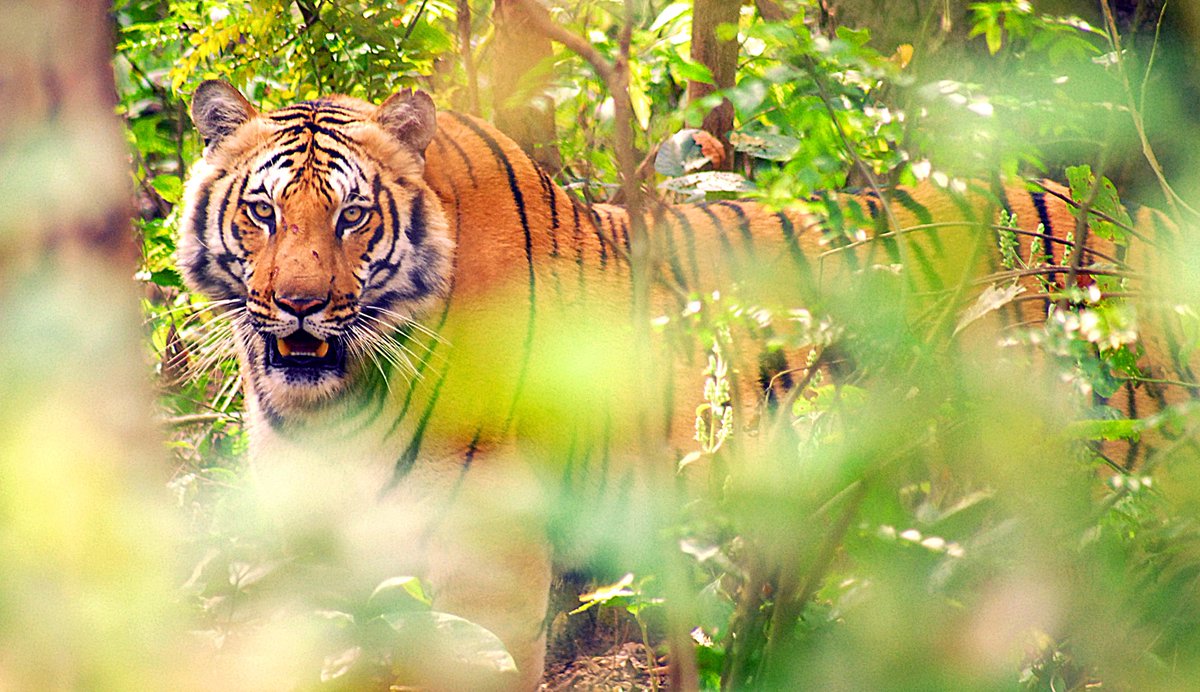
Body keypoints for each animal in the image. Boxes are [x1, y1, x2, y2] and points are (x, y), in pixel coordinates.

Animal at [178, 80, 1180, 688]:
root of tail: (1131, 227)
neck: (329, 411)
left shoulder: (485, 574)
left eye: (352, 218)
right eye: (262, 212)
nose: (299, 305)